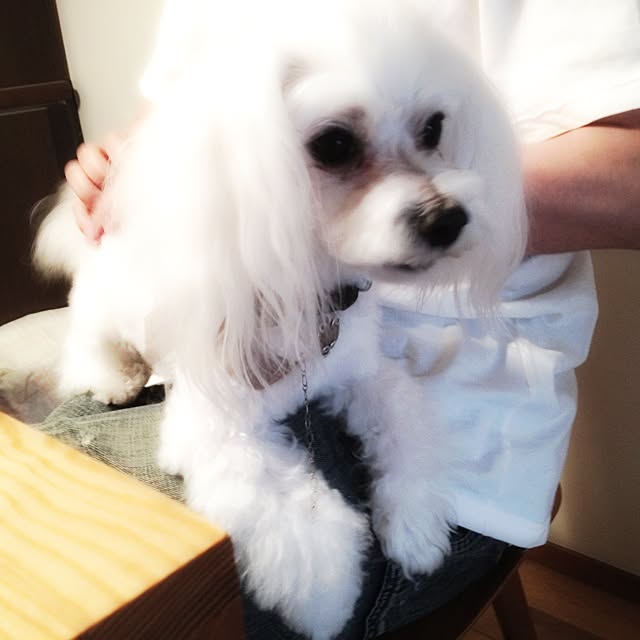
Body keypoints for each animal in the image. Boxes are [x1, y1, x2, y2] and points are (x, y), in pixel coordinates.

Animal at [34, 1, 527, 637]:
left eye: (433, 128)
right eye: (334, 144)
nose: (447, 218)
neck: (309, 291)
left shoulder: (367, 375)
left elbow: (405, 428)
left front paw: (415, 529)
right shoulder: (217, 432)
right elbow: (298, 527)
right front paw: (328, 604)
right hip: (109, 306)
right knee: (89, 342)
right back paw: (114, 377)